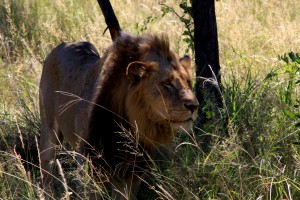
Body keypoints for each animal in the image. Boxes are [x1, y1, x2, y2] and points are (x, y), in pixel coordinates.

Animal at [39, 31, 199, 198]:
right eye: (167, 83)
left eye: (188, 82)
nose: (194, 106)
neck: (129, 125)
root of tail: (63, 45)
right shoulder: (88, 170)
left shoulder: (131, 174)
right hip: (49, 132)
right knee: (46, 172)